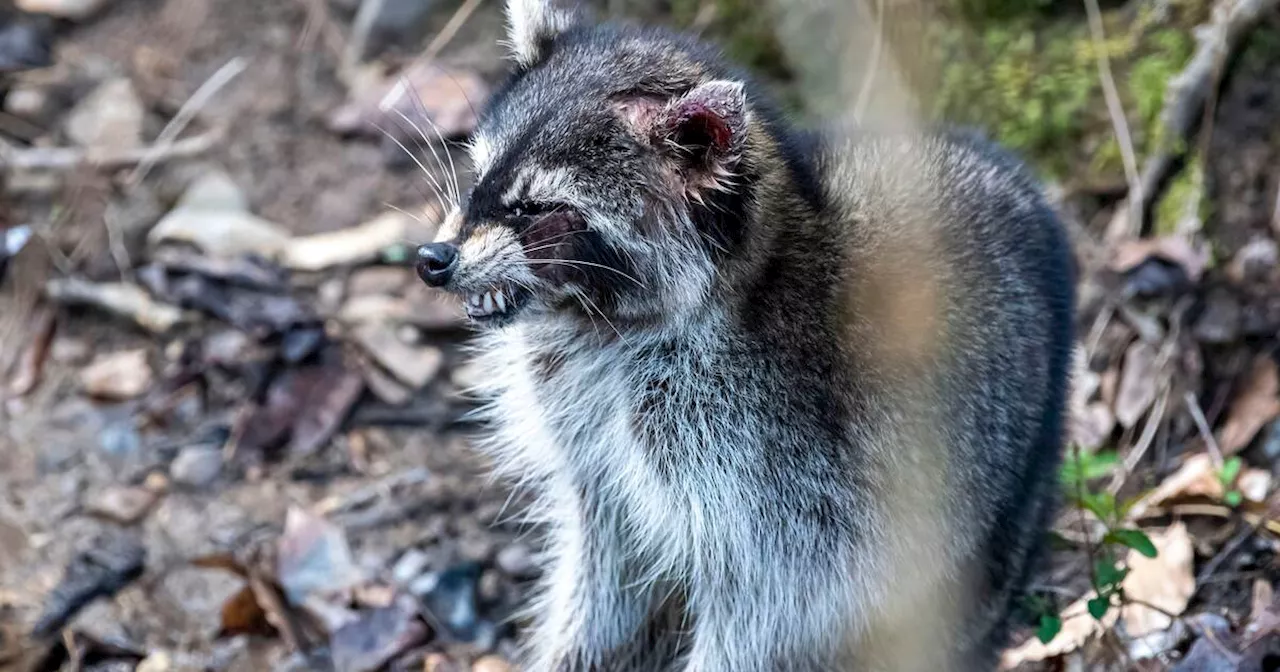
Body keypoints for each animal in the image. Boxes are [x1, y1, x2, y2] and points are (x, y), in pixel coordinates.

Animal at [414, 2, 1075, 665]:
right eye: (481, 176)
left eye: (534, 208)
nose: (432, 259)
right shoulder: (597, 447)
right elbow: (609, 568)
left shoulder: (777, 470)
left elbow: (762, 615)